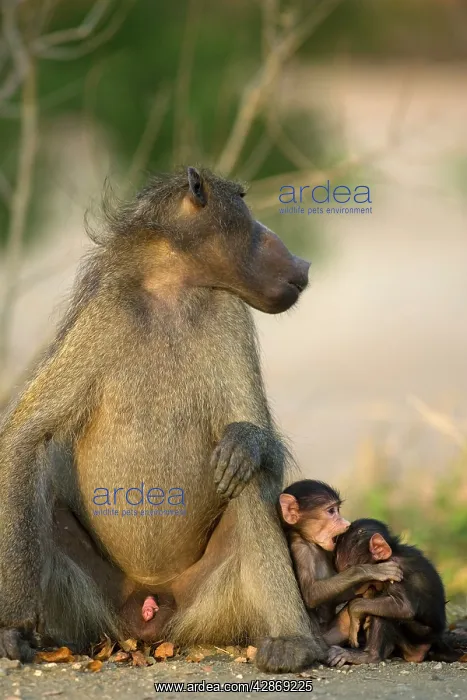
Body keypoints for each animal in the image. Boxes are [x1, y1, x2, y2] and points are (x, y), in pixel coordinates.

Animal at [0, 166, 326, 672]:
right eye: (243, 203)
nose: (302, 263)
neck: (170, 289)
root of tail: (148, 616)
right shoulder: (105, 314)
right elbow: (27, 437)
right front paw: (14, 629)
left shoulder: (229, 315)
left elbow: (254, 437)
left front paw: (246, 440)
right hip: (86, 610)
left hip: (210, 606)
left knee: (246, 479)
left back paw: (293, 642)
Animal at [279, 481, 403, 643]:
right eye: (331, 511)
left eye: (338, 510)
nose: (346, 523)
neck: (309, 540)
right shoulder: (301, 549)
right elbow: (311, 594)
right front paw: (371, 571)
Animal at [327, 518, 448, 667]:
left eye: (352, 569)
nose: (356, 588)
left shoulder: (396, 569)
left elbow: (404, 607)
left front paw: (354, 610)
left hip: (420, 636)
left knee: (384, 612)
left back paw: (369, 656)